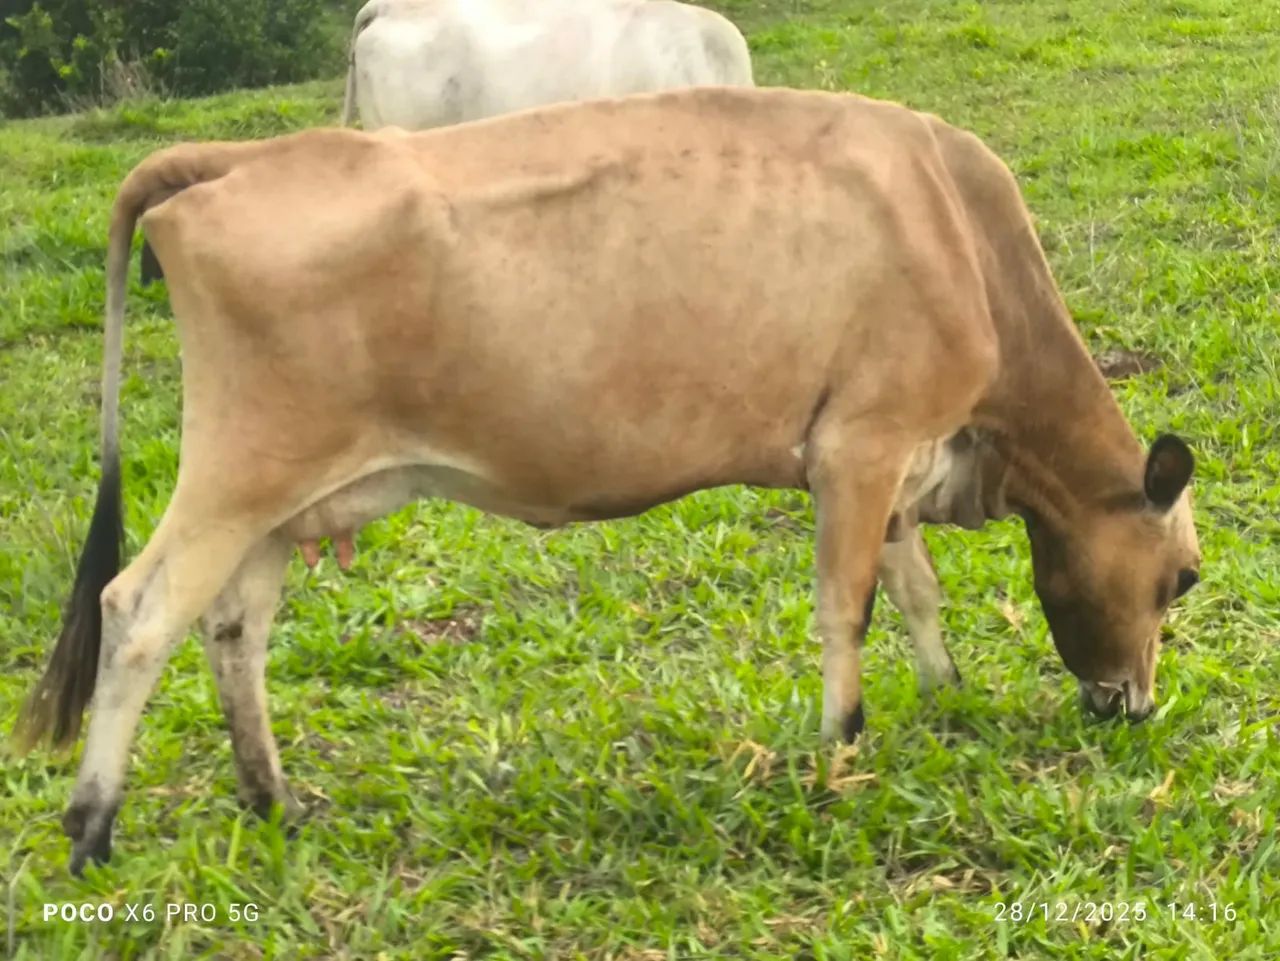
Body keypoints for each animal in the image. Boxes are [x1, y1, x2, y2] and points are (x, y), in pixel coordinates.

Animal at [12, 87, 1201, 875]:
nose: (1133, 707)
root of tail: (241, 158)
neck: (961, 236)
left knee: (232, 629)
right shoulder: (860, 444)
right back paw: (92, 826)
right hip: (240, 469)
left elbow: (915, 590)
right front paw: (839, 752)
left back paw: (274, 800)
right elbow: (845, 608)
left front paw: (942, 690)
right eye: (1183, 577)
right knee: (137, 610)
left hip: (285, 498)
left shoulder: (885, 451)